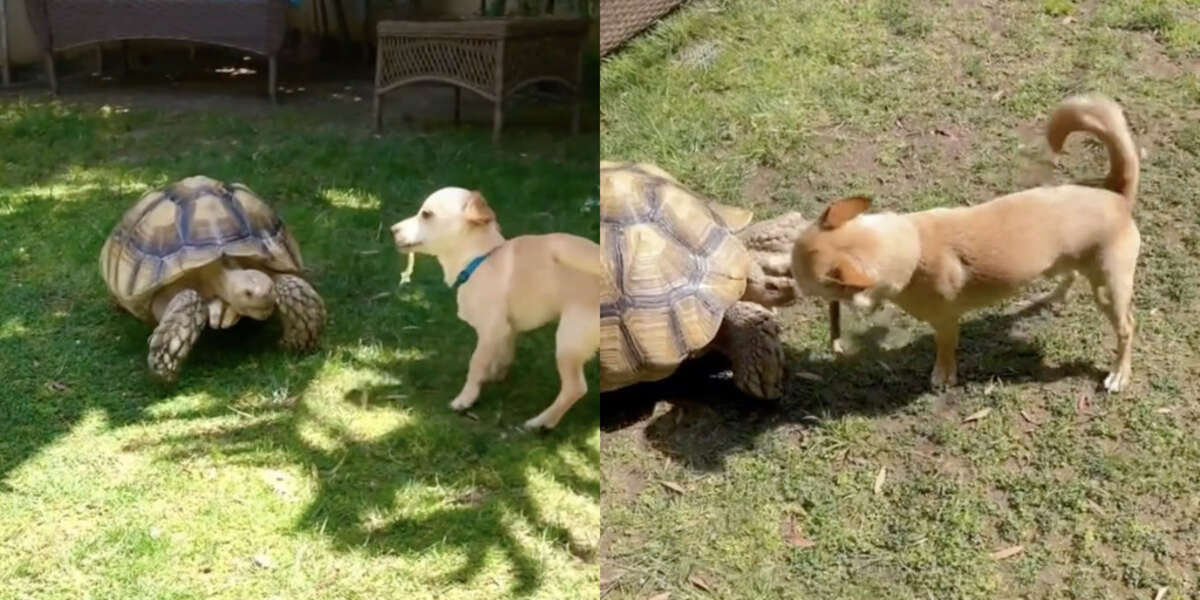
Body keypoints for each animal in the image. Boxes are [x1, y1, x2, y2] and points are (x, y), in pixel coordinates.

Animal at [391, 186, 600, 427]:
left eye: (426, 215)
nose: (392, 230)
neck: (480, 259)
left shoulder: (490, 330)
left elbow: (475, 363)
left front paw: (466, 398)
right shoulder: (506, 329)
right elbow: (504, 353)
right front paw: (495, 374)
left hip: (568, 340)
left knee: (575, 388)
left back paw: (542, 422)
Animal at [792, 95, 1137, 391]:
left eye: (798, 276)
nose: (785, 281)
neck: (911, 246)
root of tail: (1115, 193)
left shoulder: (946, 321)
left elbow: (945, 349)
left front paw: (943, 376)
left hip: (1108, 290)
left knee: (1126, 328)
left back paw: (1119, 375)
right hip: (1065, 260)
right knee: (1070, 274)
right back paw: (1052, 298)